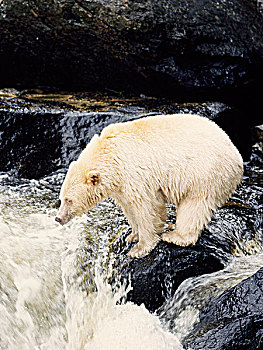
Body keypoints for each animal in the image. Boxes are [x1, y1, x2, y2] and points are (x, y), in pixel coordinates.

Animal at [55, 114, 243, 258]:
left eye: (69, 200)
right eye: (61, 198)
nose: (58, 218)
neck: (110, 154)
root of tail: (236, 154)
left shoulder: (134, 174)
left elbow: (146, 206)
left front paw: (139, 248)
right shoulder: (120, 184)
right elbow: (129, 206)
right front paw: (133, 235)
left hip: (205, 173)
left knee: (194, 205)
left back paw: (175, 236)